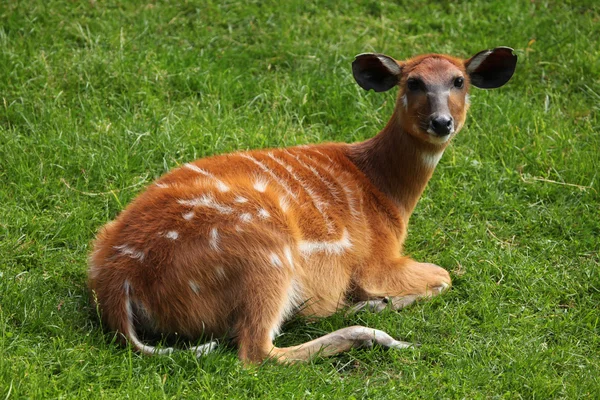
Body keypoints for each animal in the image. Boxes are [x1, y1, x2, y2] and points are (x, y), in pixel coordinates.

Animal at [88, 46, 516, 362]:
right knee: (256, 350)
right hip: (265, 253)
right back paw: (374, 335)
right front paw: (374, 303)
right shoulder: (376, 261)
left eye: (459, 81)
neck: (387, 195)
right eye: (413, 82)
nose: (442, 122)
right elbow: (444, 276)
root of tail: (119, 283)